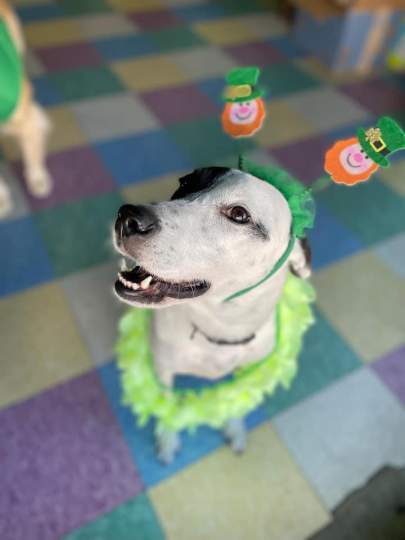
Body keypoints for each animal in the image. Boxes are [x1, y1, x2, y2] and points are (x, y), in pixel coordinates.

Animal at [112, 167, 310, 462]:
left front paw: (234, 426)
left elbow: (237, 400)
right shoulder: (162, 370)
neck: (217, 327)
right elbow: (164, 407)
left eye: (239, 214)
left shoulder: (248, 372)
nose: (128, 217)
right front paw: (168, 438)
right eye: (185, 182)